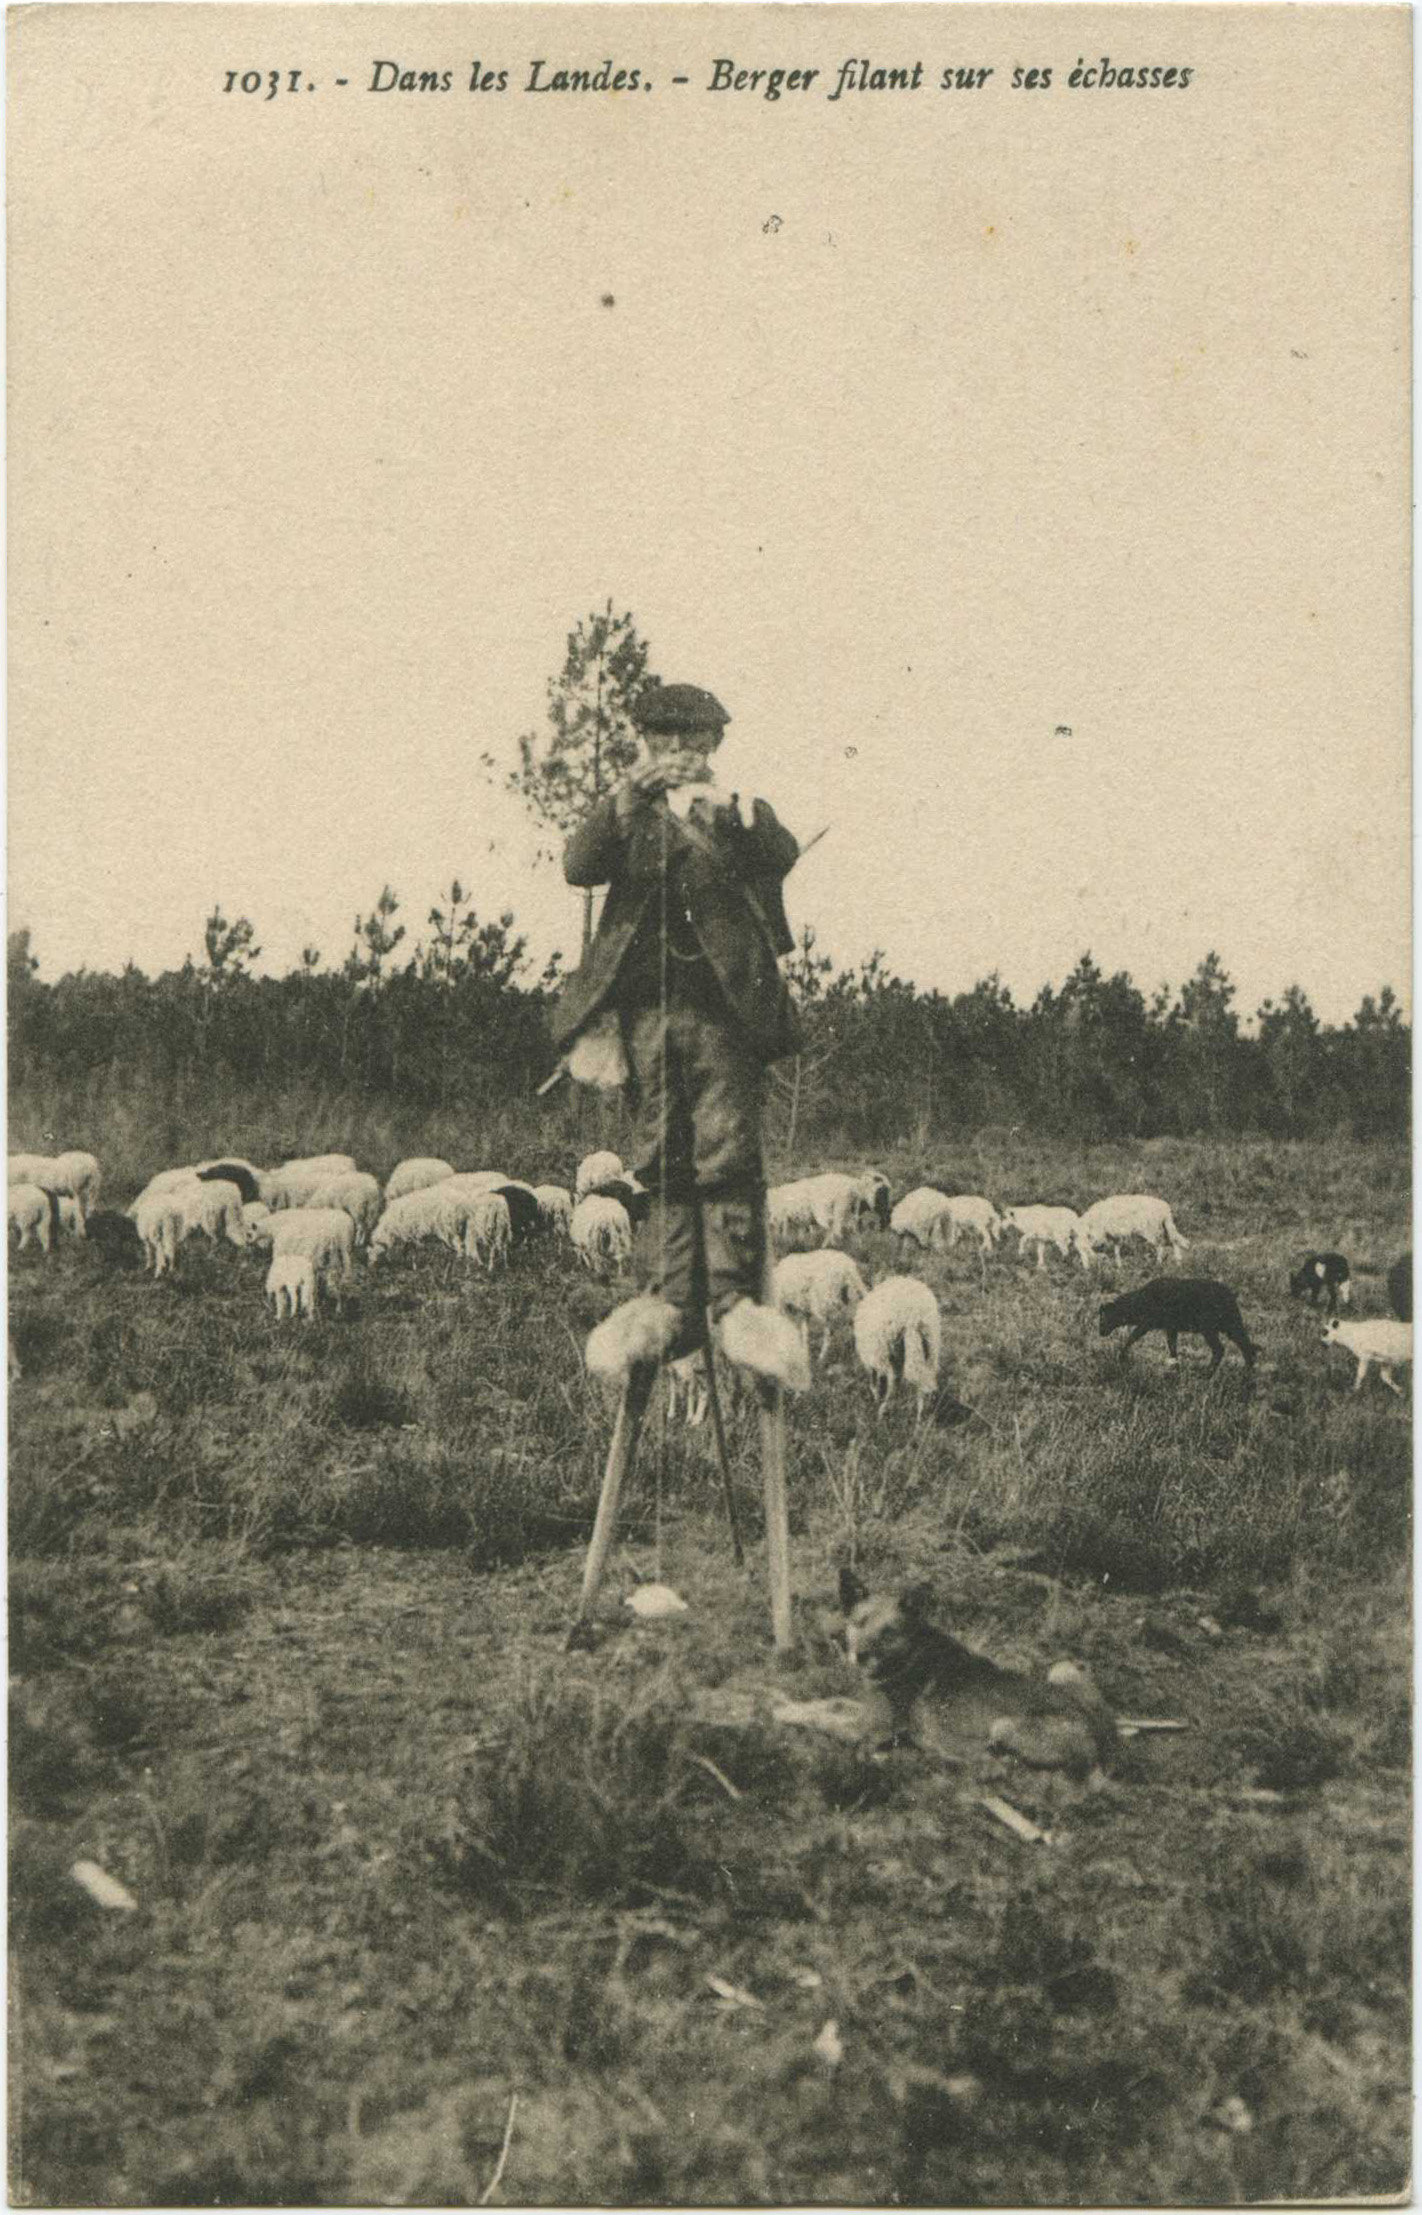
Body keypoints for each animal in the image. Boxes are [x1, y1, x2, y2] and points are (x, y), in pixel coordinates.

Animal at [832, 1568, 1116, 1789]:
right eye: (859, 1622)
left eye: (889, 1632)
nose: (860, 1656)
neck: (910, 1656)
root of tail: (1101, 1743)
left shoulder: (878, 1726)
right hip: (1061, 1672)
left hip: (1003, 1726)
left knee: (1002, 1765)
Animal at [846, 1275, 934, 1408]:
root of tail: (912, 1314)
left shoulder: (872, 1358)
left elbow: (874, 1380)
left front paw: (876, 1398)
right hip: (928, 1347)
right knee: (921, 1381)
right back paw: (921, 1412)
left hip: (886, 1350)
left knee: (891, 1381)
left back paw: (883, 1407)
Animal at [1098, 1284, 1249, 1364]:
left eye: (1105, 1316)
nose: (1100, 1332)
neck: (1142, 1300)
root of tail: (1231, 1295)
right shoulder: (1171, 1328)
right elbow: (1172, 1347)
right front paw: (1175, 1364)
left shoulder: (1146, 1324)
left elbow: (1132, 1337)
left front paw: (1121, 1356)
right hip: (1231, 1326)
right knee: (1248, 1348)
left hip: (1210, 1329)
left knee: (1220, 1350)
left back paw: (1207, 1375)